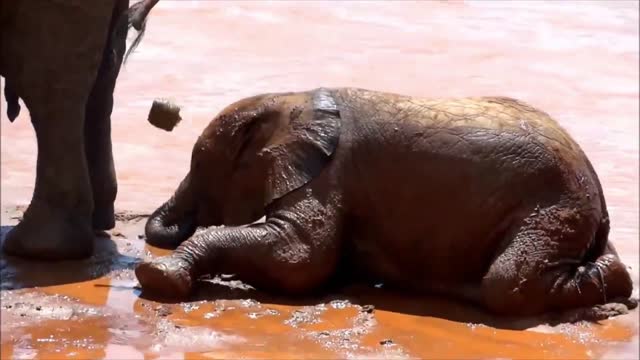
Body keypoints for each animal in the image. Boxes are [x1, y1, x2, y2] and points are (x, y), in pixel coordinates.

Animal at [136, 87, 636, 318]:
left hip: (553, 203)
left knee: (506, 282)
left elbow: (300, 259)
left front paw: (158, 276)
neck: (289, 99)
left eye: (201, 165)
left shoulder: (328, 176)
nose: (163, 113)